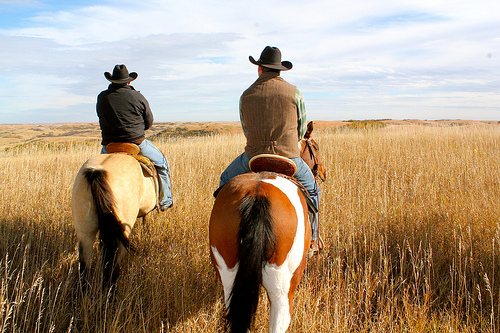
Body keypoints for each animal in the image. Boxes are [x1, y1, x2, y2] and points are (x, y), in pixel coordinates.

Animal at [72, 145, 156, 286]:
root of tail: (96, 172)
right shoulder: (148, 212)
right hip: (122, 233)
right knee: (112, 268)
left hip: (85, 232)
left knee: (84, 269)